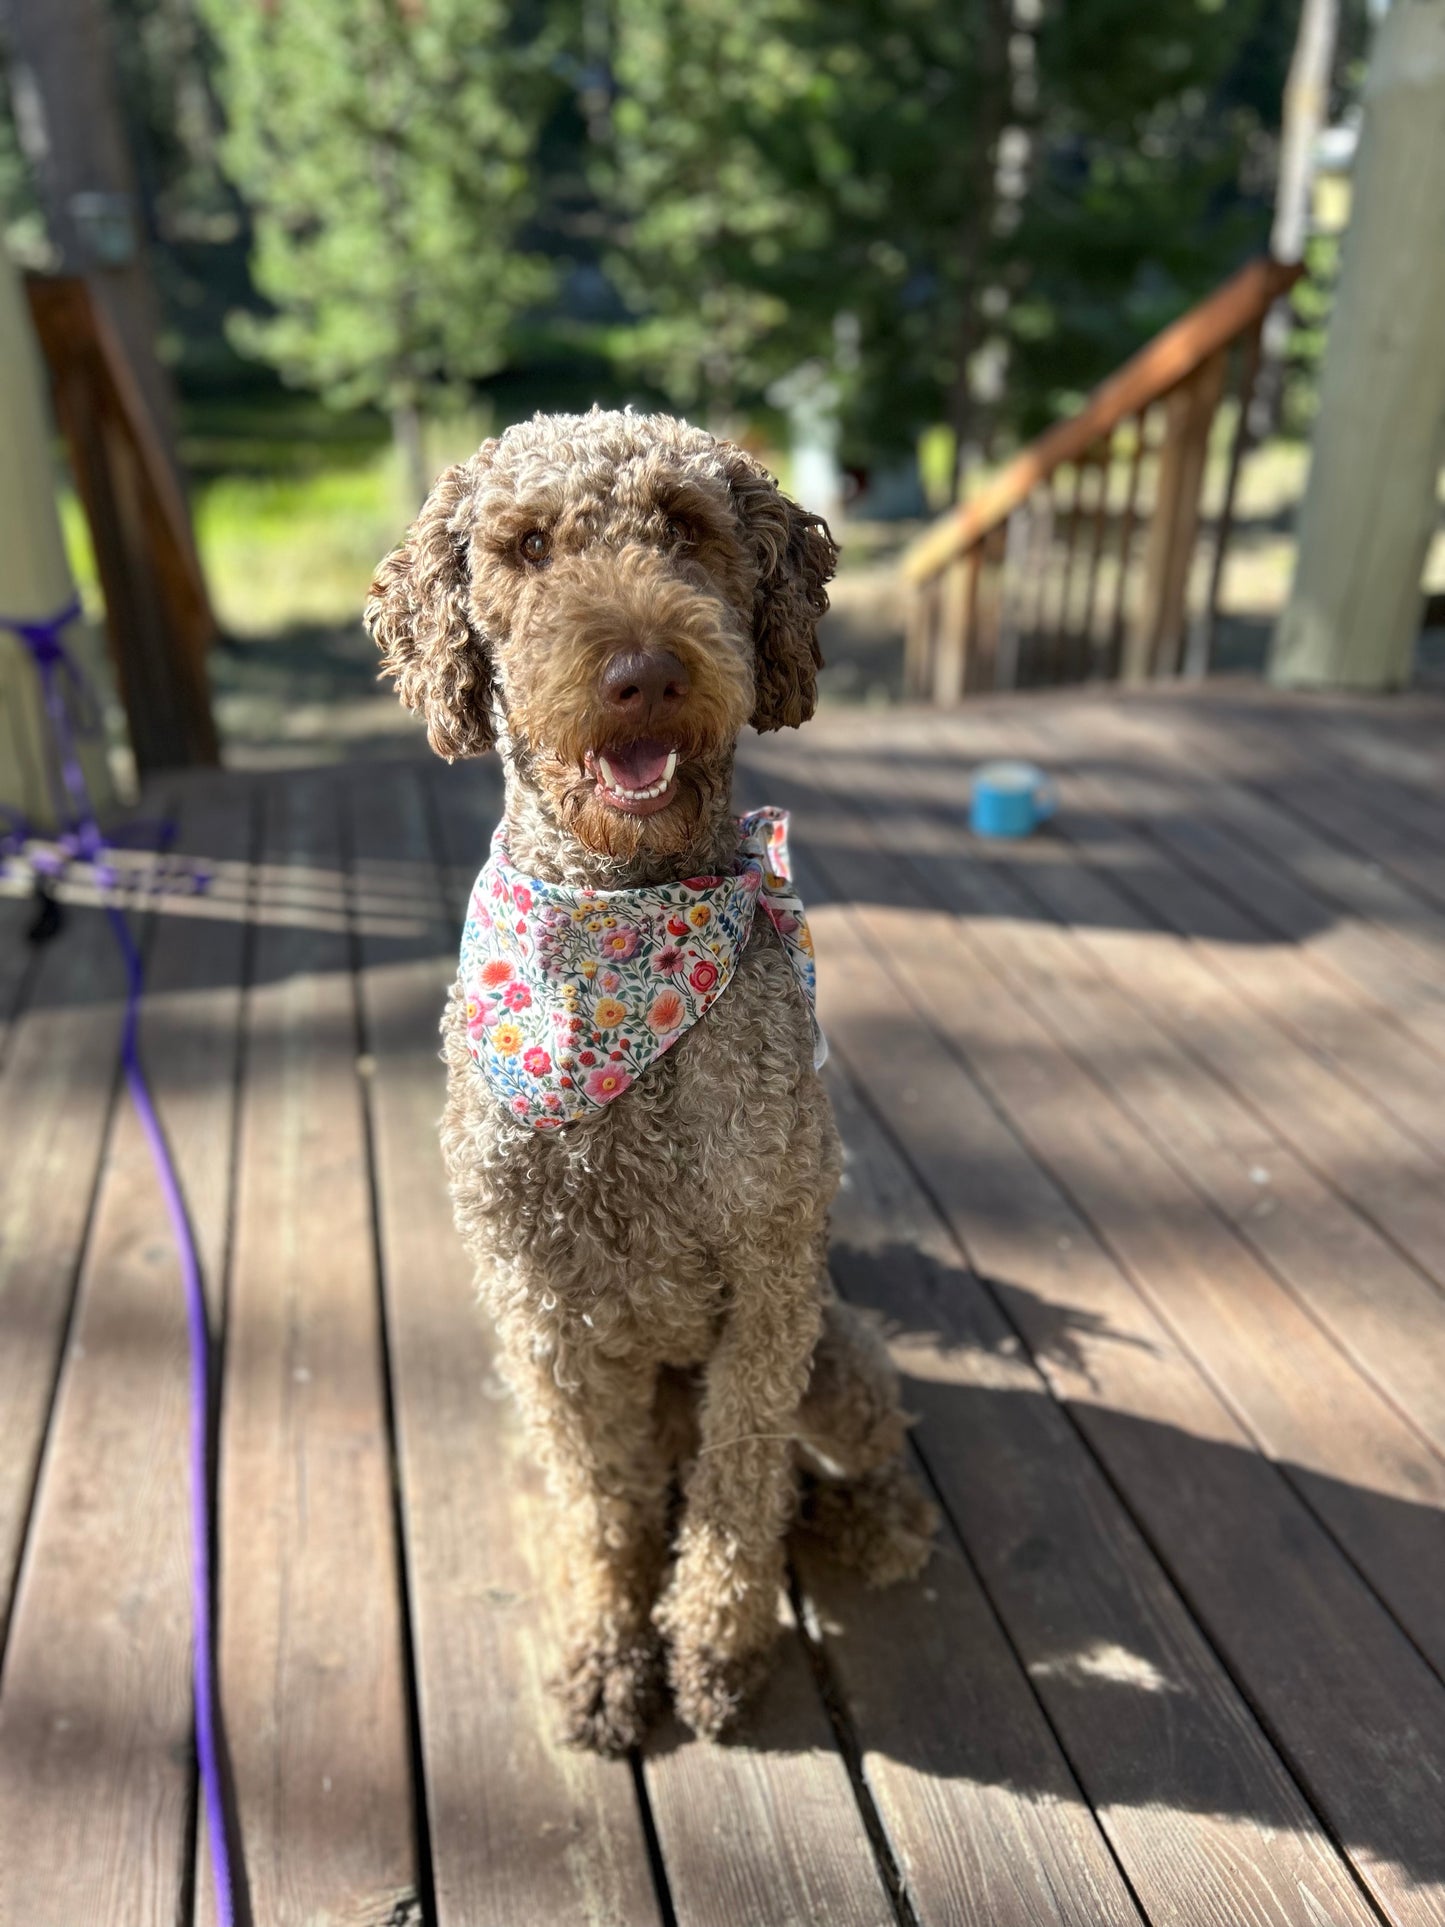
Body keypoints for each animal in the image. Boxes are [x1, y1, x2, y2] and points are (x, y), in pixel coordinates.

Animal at [369, 410, 940, 1765]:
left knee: (874, 1484)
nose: (639, 671)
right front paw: (607, 1642)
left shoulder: (771, 1285)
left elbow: (738, 1481)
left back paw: (839, 1523)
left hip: (839, 1355)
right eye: (525, 545)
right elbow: (602, 1504)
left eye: (684, 523)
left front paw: (715, 1646)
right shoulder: (546, 1321)